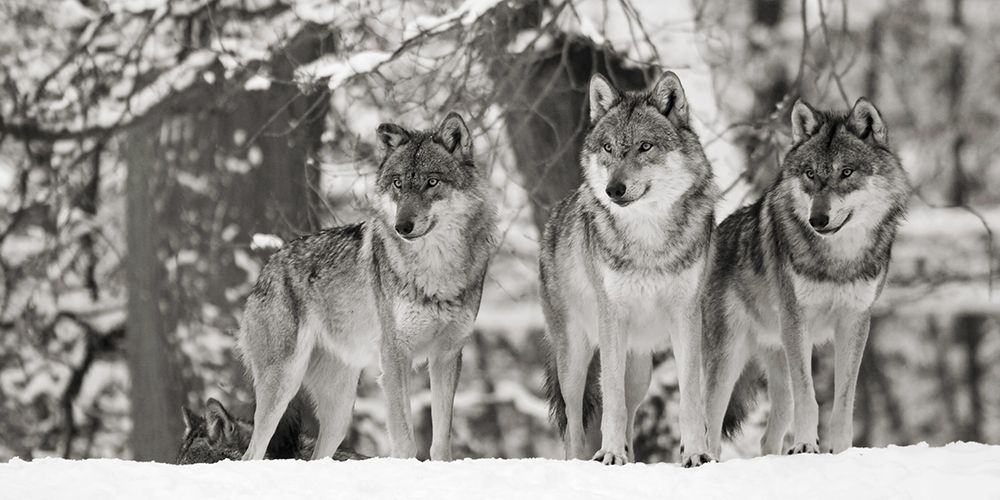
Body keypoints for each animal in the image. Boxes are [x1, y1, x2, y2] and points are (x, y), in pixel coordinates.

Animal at [238, 112, 496, 461]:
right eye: (398, 183)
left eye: (432, 182)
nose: (402, 226)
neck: (435, 270)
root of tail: (267, 267)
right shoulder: (395, 355)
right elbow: (405, 439)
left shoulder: (447, 355)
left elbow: (442, 440)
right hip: (283, 384)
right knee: (251, 453)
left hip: (340, 411)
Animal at [541, 71, 718, 467]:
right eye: (608, 148)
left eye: (644, 147)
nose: (613, 189)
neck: (648, 239)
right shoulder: (612, 316)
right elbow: (611, 404)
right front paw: (608, 453)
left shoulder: (687, 315)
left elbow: (690, 398)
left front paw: (695, 454)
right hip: (574, 360)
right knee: (575, 422)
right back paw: (582, 460)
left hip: (639, 370)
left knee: (631, 410)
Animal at [702, 98, 909, 458]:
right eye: (810, 173)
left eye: (846, 172)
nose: (818, 219)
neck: (838, 259)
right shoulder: (798, 321)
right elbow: (809, 397)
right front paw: (804, 446)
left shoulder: (855, 322)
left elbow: (844, 400)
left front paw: (840, 450)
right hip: (728, 358)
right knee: (709, 424)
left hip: (777, 363)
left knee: (767, 436)